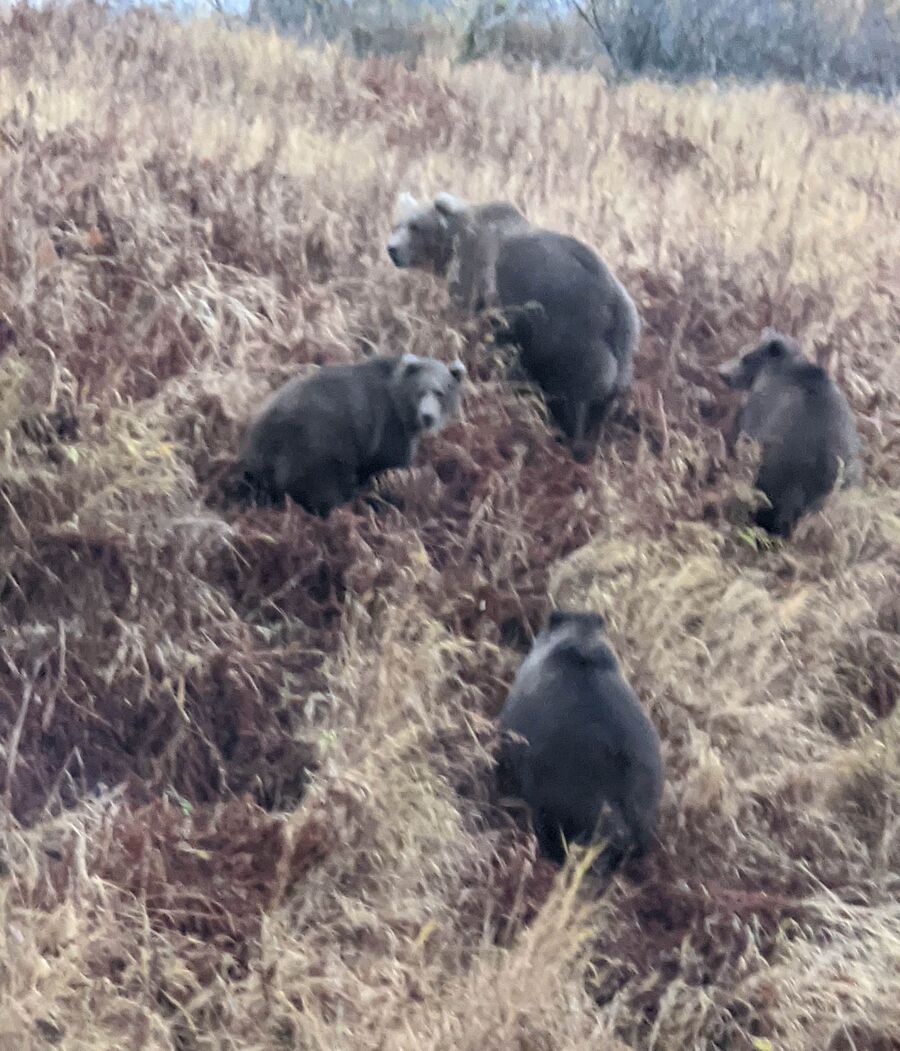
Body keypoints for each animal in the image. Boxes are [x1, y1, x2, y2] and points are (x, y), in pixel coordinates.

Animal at [237, 353, 466, 517]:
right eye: (421, 391)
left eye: (440, 393)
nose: (428, 416)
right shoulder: (388, 426)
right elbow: (389, 463)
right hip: (314, 448)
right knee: (324, 488)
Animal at [386, 191, 640, 462]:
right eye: (398, 224)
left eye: (415, 226)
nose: (392, 249)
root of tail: (617, 311)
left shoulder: (480, 285)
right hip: (620, 360)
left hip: (572, 344)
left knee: (571, 401)